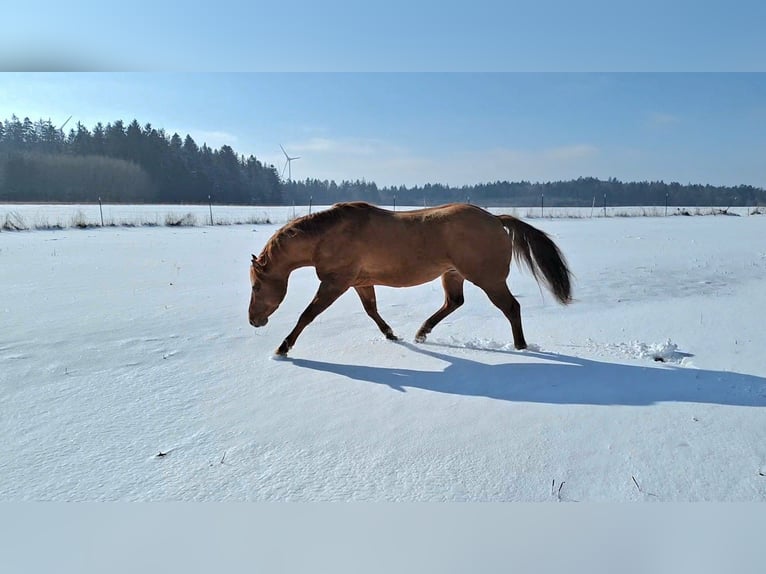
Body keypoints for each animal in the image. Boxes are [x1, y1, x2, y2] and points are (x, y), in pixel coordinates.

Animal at [249, 202, 572, 356]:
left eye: (256, 285)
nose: (254, 321)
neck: (328, 236)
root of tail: (496, 219)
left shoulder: (335, 283)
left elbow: (307, 315)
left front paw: (283, 348)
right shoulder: (359, 282)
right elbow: (372, 310)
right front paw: (391, 334)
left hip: (489, 279)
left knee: (511, 308)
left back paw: (520, 347)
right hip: (453, 275)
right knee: (454, 302)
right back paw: (421, 332)